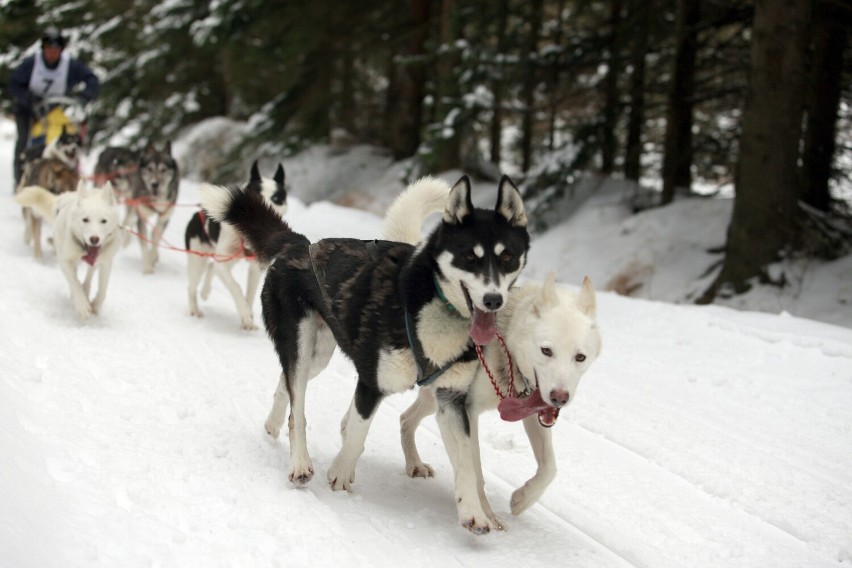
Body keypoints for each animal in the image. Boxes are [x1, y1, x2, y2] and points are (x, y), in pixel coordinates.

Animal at [15, 182, 122, 320]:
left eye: (104, 221)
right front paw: (82, 305)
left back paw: (86, 289)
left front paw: (95, 305)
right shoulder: (65, 261)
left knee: (90, 273)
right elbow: (74, 282)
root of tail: (64, 197)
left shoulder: (106, 262)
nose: (94, 239)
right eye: (85, 219)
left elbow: (103, 289)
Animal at [185, 160, 288, 330]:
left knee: (211, 268)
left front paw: (248, 318)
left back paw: (205, 291)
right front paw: (245, 313)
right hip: (197, 260)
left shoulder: (255, 268)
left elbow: (250, 294)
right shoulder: (223, 263)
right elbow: (235, 287)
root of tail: (196, 215)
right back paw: (194, 309)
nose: (265, 212)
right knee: (192, 285)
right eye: (257, 195)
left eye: (276, 198)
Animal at [201, 174, 528, 532]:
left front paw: (474, 512)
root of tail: (300, 244)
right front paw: (340, 476)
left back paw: (273, 424)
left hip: (318, 354)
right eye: (470, 257)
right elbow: (357, 434)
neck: (429, 305)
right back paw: (300, 462)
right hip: (301, 342)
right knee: (297, 408)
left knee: (285, 384)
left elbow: (468, 461)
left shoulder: (451, 400)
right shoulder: (371, 384)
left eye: (508, 258)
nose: (494, 299)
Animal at [382, 179, 604, 532]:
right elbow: (475, 473)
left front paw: (521, 499)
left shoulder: (531, 410)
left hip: (435, 397)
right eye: (546, 350)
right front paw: (487, 515)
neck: (505, 347)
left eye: (580, 357)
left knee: (406, 418)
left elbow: (549, 468)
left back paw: (414, 463)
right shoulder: (467, 412)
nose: (559, 397)